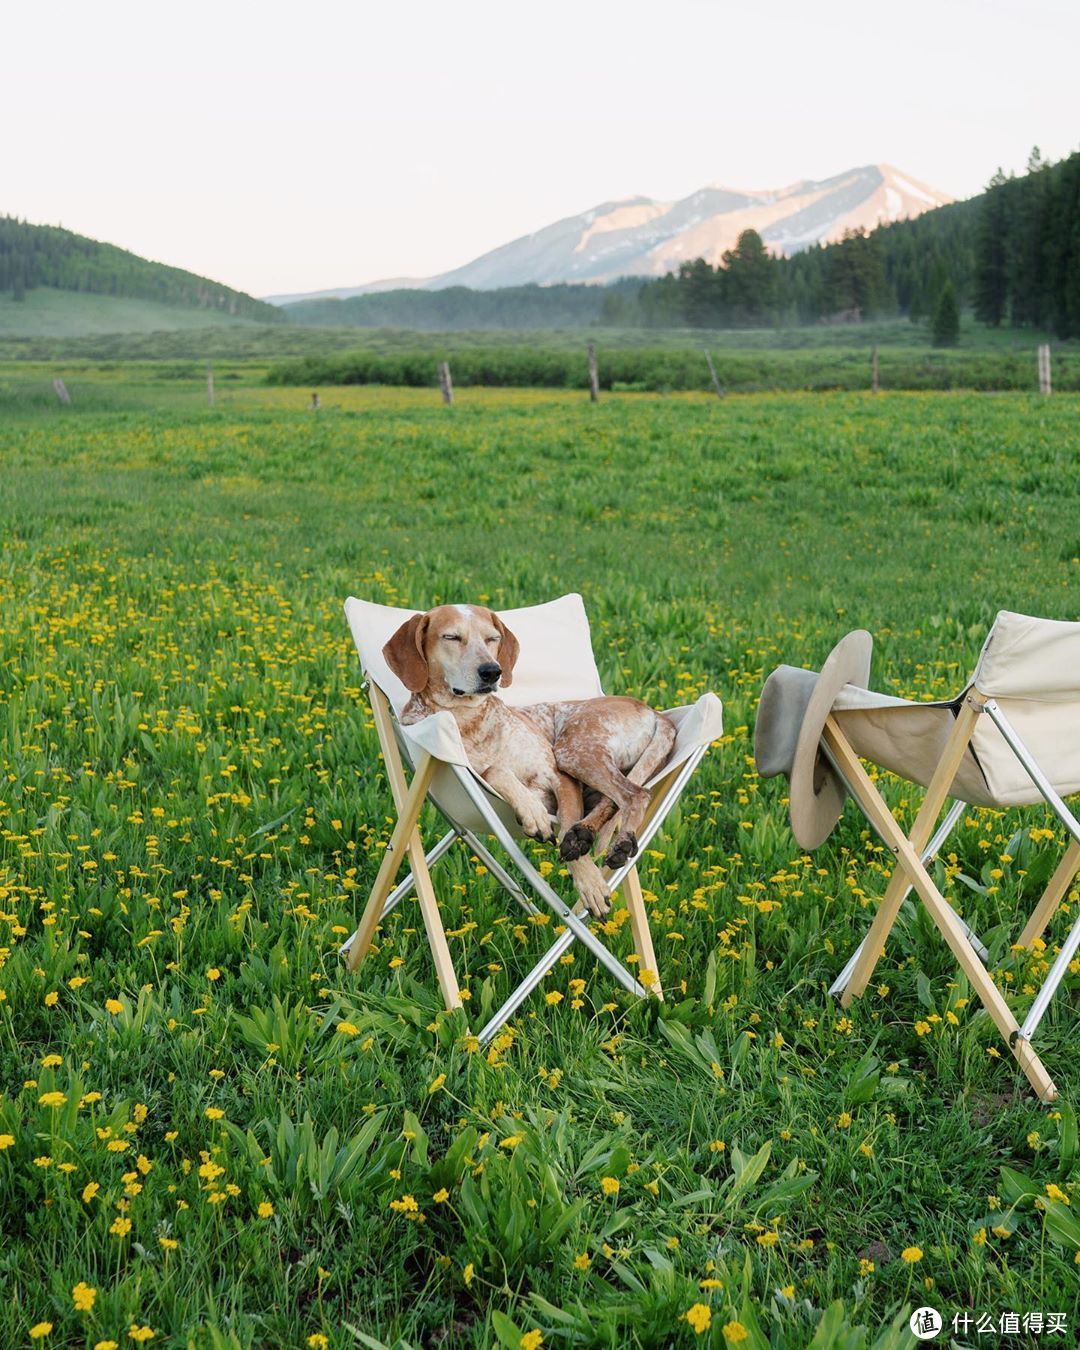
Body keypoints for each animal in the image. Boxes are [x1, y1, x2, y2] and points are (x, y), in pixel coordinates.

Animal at [383, 604, 675, 912]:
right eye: (451, 637)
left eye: (492, 638)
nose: (492, 671)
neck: (469, 719)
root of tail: (655, 712)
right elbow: (496, 772)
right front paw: (533, 812)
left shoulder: (561, 778)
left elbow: (565, 823)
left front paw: (590, 882)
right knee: (618, 799)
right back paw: (587, 834)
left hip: (573, 752)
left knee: (634, 795)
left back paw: (613, 840)